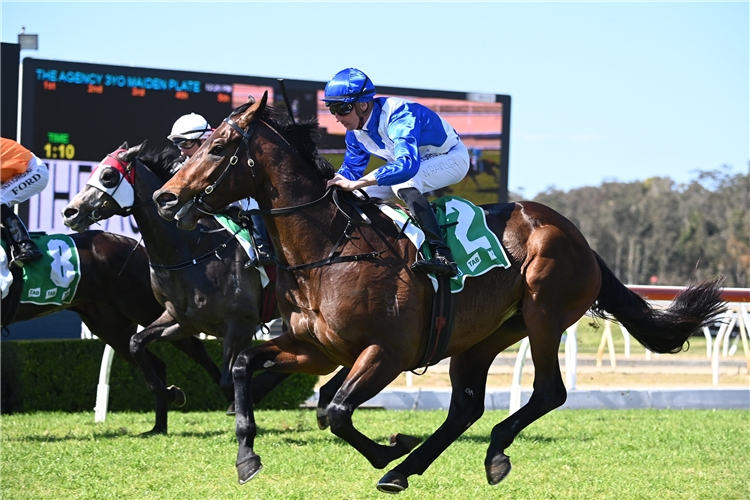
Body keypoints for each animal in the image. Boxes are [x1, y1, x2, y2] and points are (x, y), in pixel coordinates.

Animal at [2, 229, 226, 432]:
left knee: (196, 349)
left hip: (148, 308)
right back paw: (159, 425)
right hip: (110, 327)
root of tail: (137, 246)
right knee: (154, 360)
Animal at [154, 94, 728, 492]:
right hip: (481, 336)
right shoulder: (314, 348)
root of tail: (576, 235)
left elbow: (335, 411)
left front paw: (388, 448)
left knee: (548, 392)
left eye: (218, 148)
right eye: (195, 146)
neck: (330, 249)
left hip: (543, 314)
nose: (165, 197)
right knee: (466, 408)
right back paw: (411, 469)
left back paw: (485, 454)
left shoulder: (386, 351)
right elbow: (246, 368)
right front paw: (247, 456)